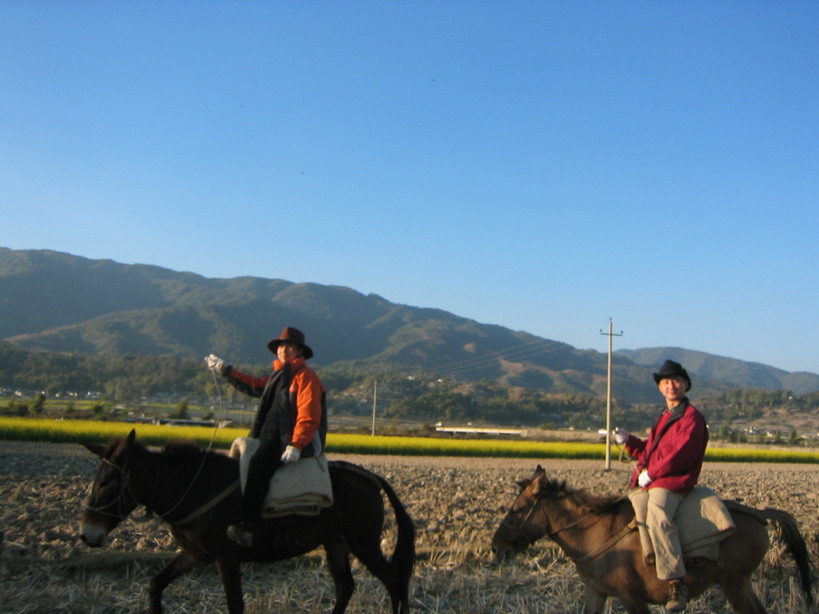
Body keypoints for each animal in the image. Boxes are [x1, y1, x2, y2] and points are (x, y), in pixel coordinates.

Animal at [494, 466, 812, 614]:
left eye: (517, 509)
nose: (497, 547)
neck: (594, 532)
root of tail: (759, 513)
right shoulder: (597, 591)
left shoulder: (631, 597)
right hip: (740, 583)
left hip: (734, 583)